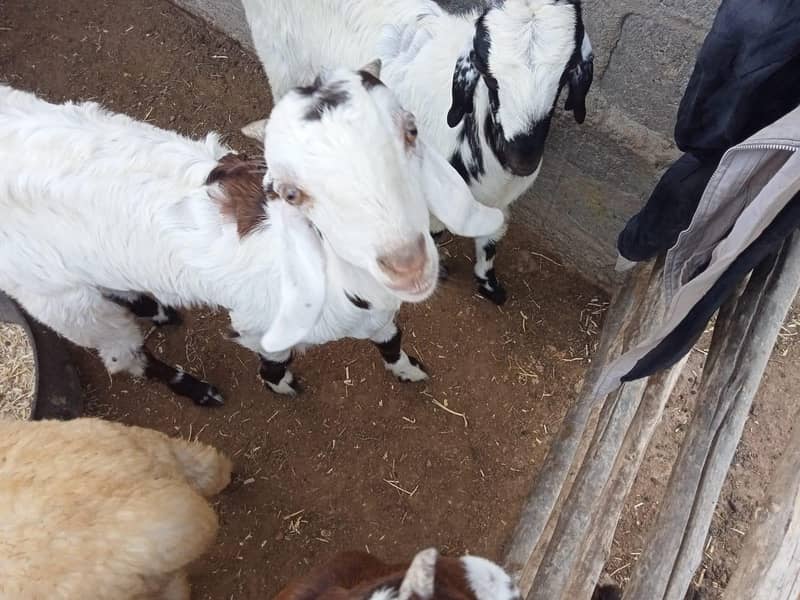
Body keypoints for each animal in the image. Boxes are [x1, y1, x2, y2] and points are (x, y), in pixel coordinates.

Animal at [0, 63, 503, 406]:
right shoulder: (258, 327)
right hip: (61, 302)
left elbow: (392, 341)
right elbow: (273, 362)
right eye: (291, 193)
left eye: (412, 130)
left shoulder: (377, 316)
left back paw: (156, 308)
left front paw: (408, 371)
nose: (406, 264)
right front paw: (281, 386)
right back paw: (197, 389)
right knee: (123, 353)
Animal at [240, 0, 594, 305]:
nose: (523, 159)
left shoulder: (500, 200)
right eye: (488, 74)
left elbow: (493, 235)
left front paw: (489, 284)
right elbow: (433, 231)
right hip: (277, 57)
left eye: (566, 73)